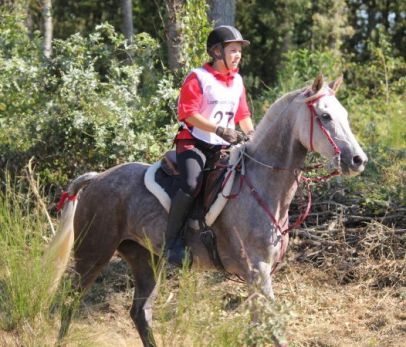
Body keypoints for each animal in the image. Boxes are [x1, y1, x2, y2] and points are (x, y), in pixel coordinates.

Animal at [46, 75, 368, 346]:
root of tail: (97, 178)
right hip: (93, 253)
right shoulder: (258, 270)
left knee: (140, 312)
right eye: (325, 116)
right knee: (71, 301)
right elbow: (274, 328)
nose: (358, 160)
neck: (263, 184)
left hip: (145, 259)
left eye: (344, 115)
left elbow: (259, 328)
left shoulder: (256, 276)